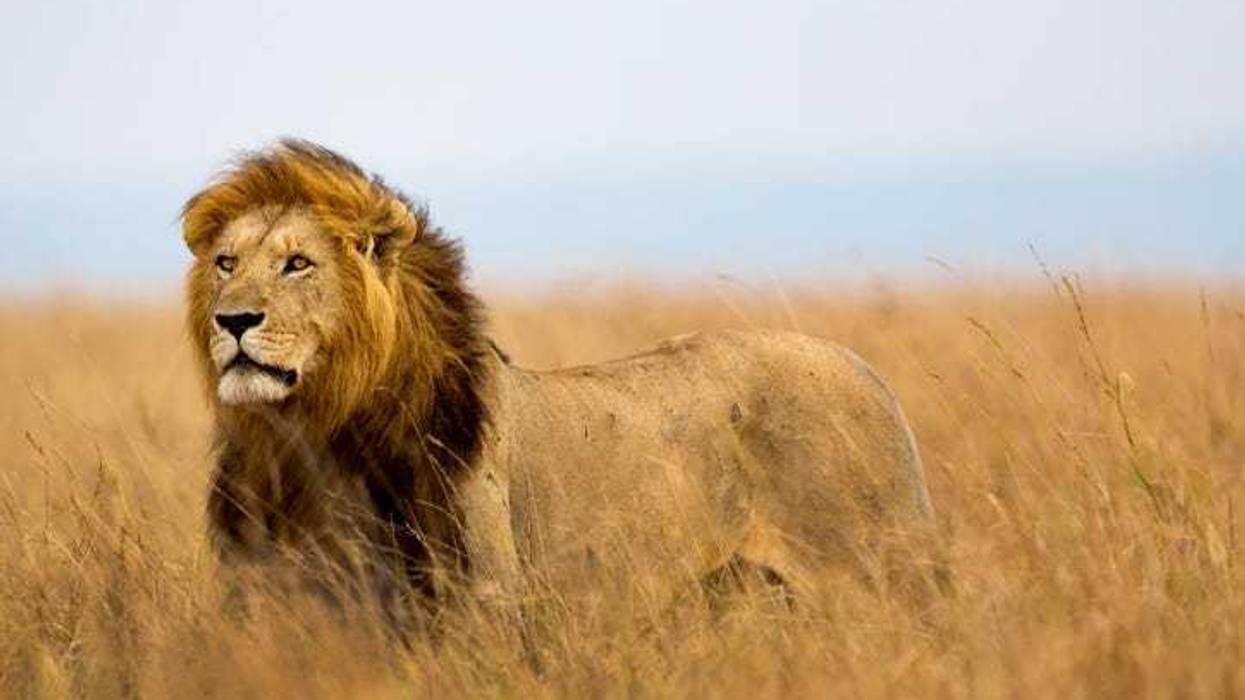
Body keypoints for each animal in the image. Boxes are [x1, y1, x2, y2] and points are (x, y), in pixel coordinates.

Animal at [182, 139, 935, 620]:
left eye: (298, 263)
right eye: (225, 263)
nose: (234, 320)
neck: (312, 433)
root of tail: (867, 370)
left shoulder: (480, 599)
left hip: (879, 578)